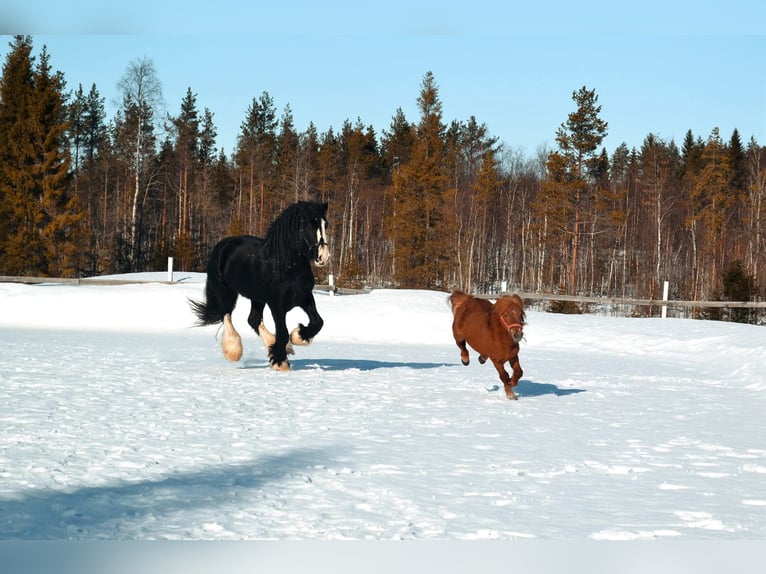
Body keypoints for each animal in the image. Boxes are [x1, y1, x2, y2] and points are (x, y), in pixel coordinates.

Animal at [189, 201, 330, 371]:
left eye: (325, 225)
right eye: (309, 225)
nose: (323, 256)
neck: (286, 267)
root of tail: (223, 245)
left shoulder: (305, 298)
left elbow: (318, 322)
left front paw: (298, 336)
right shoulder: (277, 306)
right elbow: (283, 333)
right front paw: (280, 363)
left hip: (257, 298)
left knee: (253, 319)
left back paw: (277, 346)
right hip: (225, 292)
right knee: (226, 314)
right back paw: (233, 350)